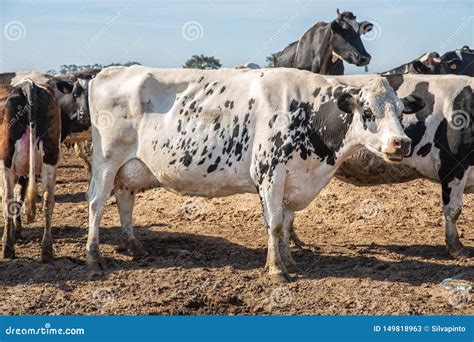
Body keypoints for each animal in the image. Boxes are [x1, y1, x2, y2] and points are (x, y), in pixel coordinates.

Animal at [87, 65, 424, 282]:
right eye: (367, 112)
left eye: (400, 111)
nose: (402, 142)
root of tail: (106, 72)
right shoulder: (270, 174)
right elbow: (274, 224)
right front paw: (276, 270)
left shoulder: (294, 181)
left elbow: (286, 225)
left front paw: (291, 262)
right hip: (106, 159)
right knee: (96, 203)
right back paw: (94, 256)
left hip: (130, 167)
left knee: (125, 200)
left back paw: (134, 247)